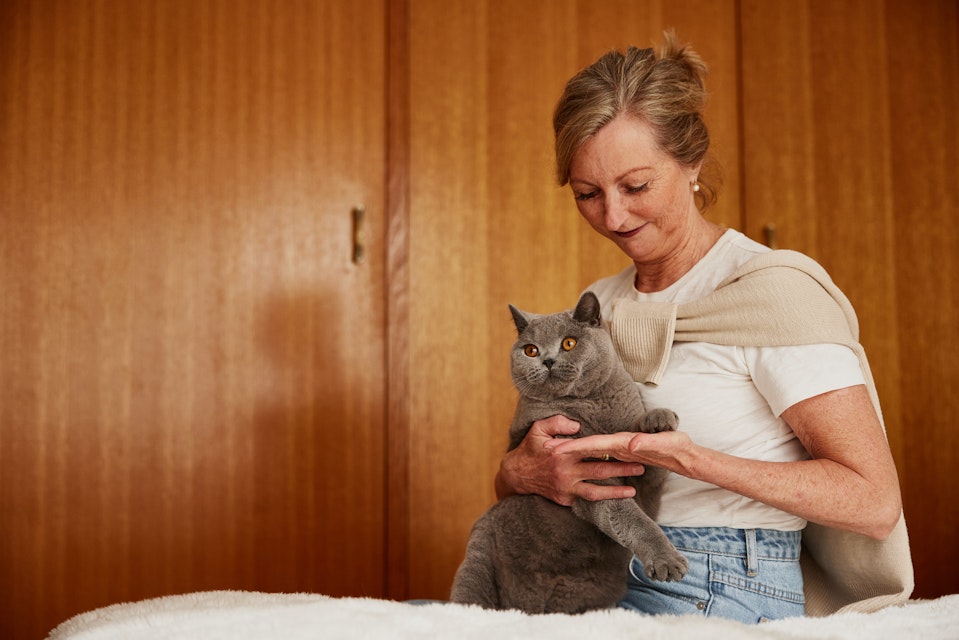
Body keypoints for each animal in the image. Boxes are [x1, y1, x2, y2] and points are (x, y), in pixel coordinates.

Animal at [450, 292, 688, 616]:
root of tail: (530, 608)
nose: (548, 359)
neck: (592, 404)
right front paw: (667, 561)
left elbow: (642, 448)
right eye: (531, 350)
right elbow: (629, 516)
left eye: (569, 343)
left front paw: (658, 420)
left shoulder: (647, 481)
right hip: (478, 559)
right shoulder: (588, 478)